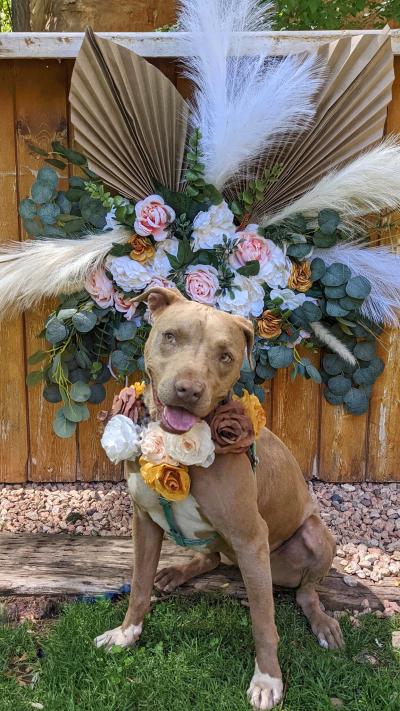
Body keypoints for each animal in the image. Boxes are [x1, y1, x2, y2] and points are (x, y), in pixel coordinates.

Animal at [94, 286, 344, 708]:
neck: (179, 447)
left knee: (306, 591)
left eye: (225, 355)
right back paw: (178, 572)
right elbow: (139, 586)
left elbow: (263, 621)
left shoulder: (250, 537)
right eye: (171, 336)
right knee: (210, 557)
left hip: (312, 538)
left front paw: (268, 680)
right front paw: (126, 633)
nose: (188, 390)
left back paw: (323, 622)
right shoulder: (143, 521)